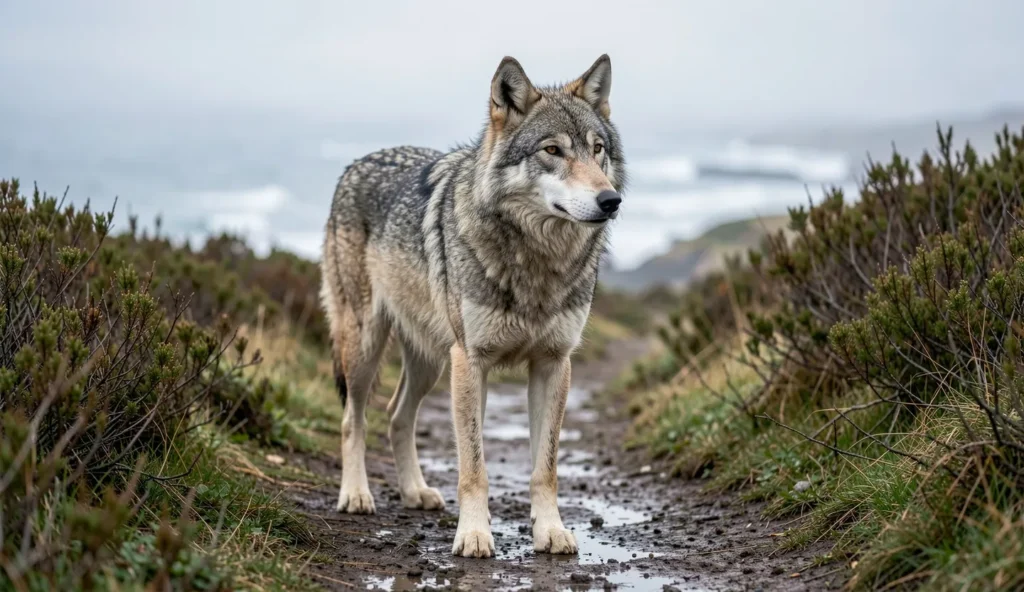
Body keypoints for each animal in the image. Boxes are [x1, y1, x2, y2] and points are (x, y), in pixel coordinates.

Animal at [319, 54, 625, 558]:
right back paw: (357, 495)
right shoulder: (472, 361)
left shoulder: (553, 363)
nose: (610, 200)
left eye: (597, 149)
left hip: (430, 363)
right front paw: (475, 535)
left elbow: (545, 467)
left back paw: (415, 492)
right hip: (366, 348)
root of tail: (355, 164)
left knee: (396, 416)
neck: (535, 262)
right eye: (553, 150)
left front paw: (550, 531)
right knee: (352, 419)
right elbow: (473, 467)